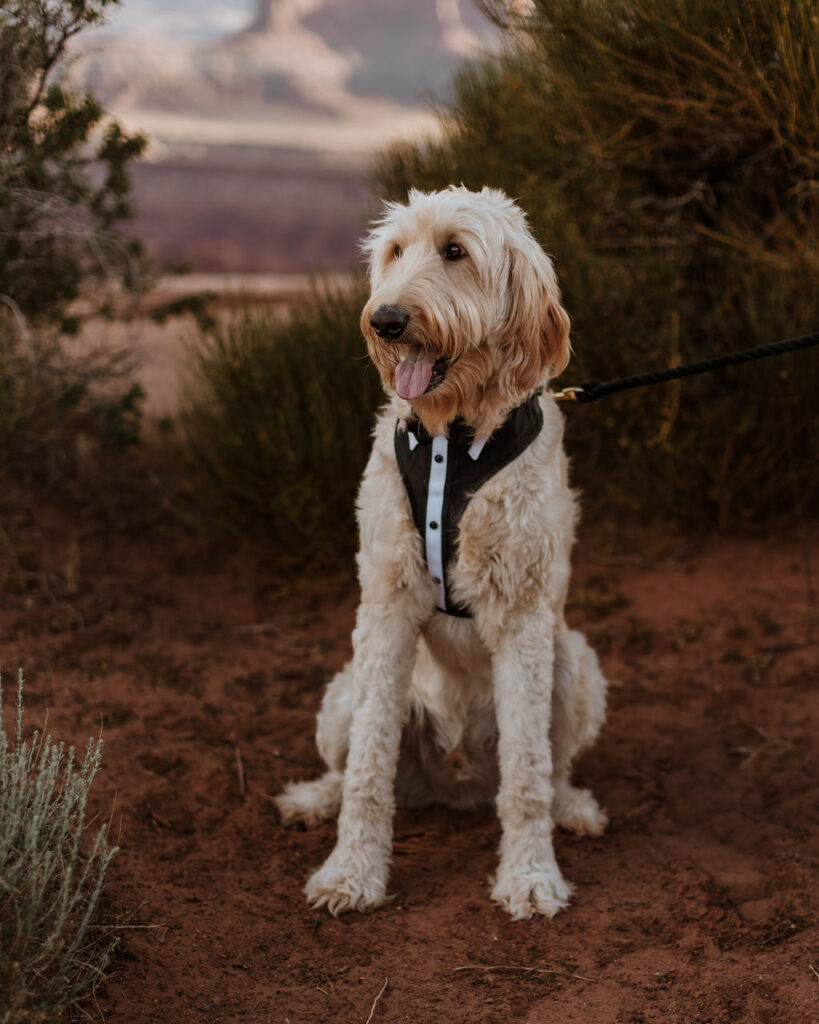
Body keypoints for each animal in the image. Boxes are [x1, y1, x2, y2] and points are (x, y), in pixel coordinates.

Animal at [278, 184, 606, 921]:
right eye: (396, 251)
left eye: (455, 251)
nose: (386, 319)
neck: (452, 437)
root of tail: (454, 782)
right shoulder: (385, 607)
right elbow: (367, 770)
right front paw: (351, 874)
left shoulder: (523, 618)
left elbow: (527, 774)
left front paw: (530, 876)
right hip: (343, 689)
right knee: (345, 766)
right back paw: (313, 799)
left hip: (574, 665)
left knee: (553, 768)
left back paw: (572, 807)